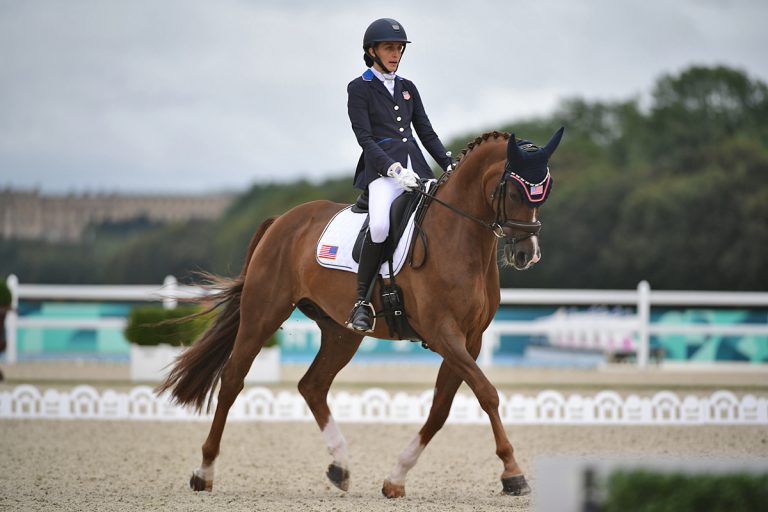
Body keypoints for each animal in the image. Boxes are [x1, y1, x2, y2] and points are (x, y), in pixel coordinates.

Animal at [158, 127, 564, 496]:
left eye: (545, 190)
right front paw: (513, 473)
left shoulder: (470, 340)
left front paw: (396, 478)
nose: (527, 254)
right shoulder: (443, 333)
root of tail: (282, 220)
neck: (458, 237)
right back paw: (204, 472)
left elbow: (441, 409)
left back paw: (340, 466)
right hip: (262, 314)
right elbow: (487, 393)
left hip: (341, 332)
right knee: (232, 381)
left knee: (313, 385)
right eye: (515, 191)